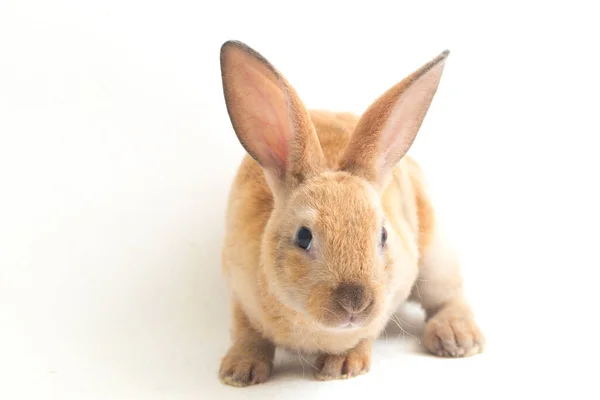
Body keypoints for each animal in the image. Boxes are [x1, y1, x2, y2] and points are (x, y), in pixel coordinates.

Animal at [218, 39, 486, 386]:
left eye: (383, 235)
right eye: (303, 237)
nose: (355, 303)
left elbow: (364, 336)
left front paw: (341, 367)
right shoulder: (239, 292)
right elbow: (247, 333)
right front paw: (239, 373)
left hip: (436, 260)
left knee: (448, 297)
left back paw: (458, 339)